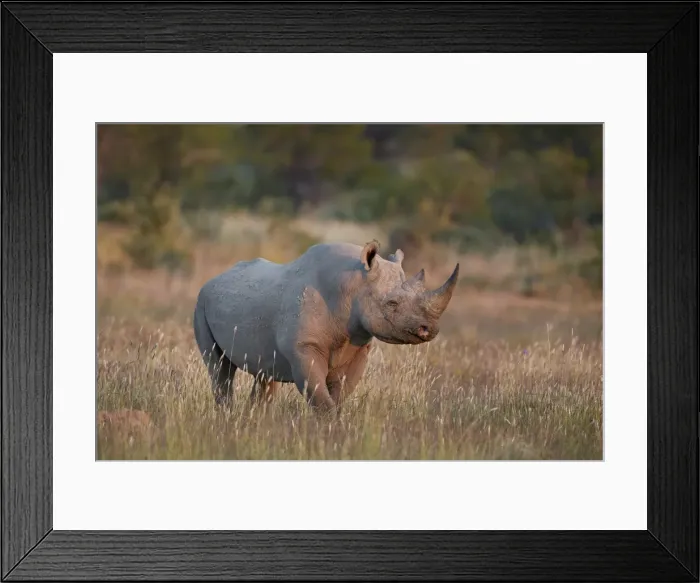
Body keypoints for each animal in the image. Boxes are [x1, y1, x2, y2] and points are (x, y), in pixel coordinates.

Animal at [193, 240, 459, 413]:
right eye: (392, 304)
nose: (429, 329)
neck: (352, 285)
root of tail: (213, 279)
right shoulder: (304, 347)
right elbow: (321, 400)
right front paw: (330, 433)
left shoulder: (358, 346)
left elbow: (339, 396)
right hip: (202, 303)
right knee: (219, 369)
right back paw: (228, 417)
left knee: (264, 374)